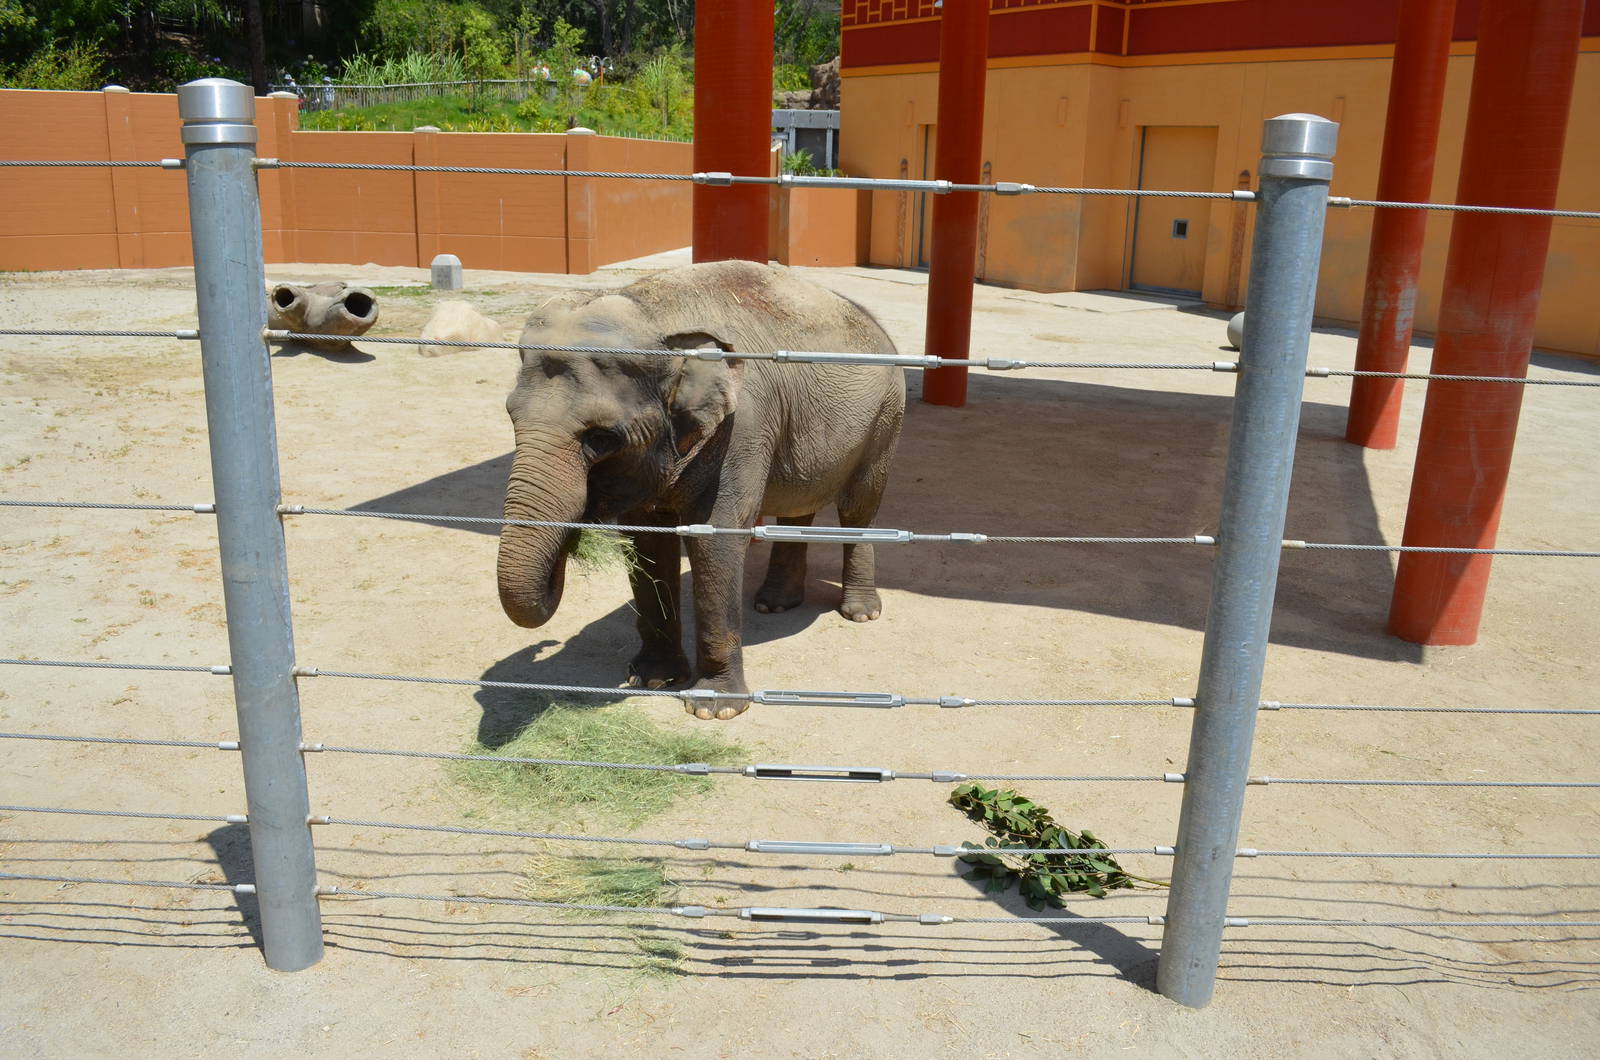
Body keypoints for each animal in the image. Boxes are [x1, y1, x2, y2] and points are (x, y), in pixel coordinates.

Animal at [496, 260, 906, 719]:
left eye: (601, 438)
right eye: (510, 416)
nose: (572, 541)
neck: (652, 312)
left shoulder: (741, 427)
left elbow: (715, 537)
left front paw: (715, 709)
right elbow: (646, 540)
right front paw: (653, 680)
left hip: (886, 416)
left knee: (858, 508)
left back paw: (860, 613)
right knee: (799, 504)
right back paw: (774, 604)